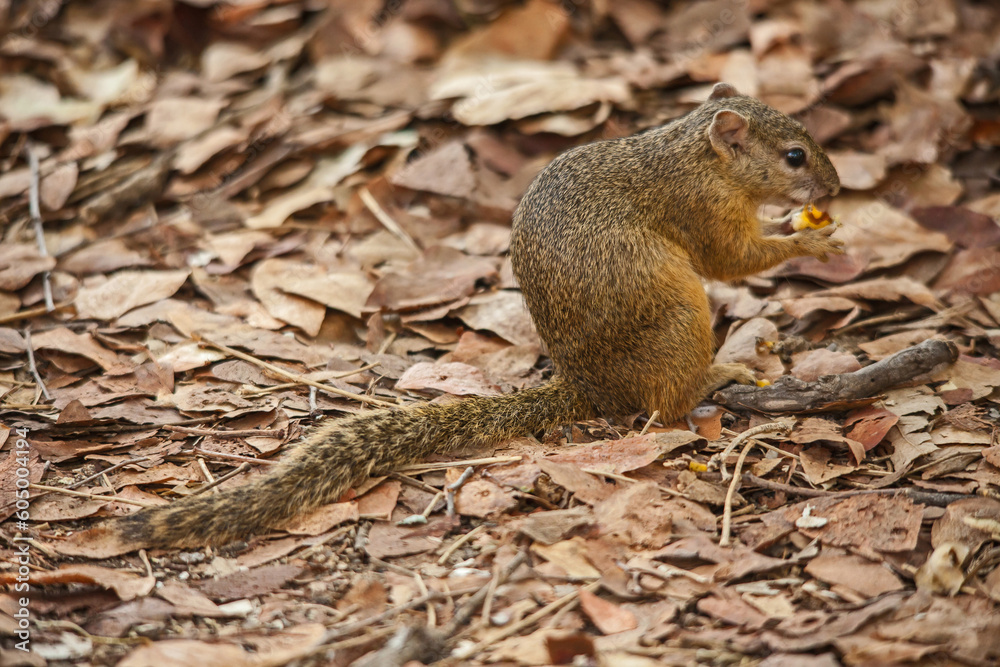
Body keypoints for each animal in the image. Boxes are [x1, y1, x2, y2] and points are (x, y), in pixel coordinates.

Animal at [112, 83, 842, 548]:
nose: (836, 189)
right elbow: (732, 259)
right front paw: (808, 240)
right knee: (668, 399)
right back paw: (718, 374)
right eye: (794, 155)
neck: (690, 153)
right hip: (680, 319)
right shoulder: (701, 207)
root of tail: (590, 388)